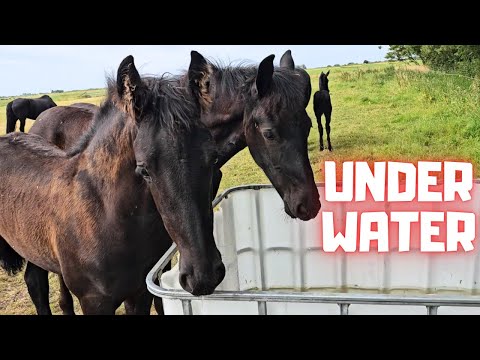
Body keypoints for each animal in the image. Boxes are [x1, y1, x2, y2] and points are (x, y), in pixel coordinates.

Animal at [0, 54, 224, 316]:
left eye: (214, 158)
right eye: (144, 168)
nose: (203, 276)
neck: (105, 217)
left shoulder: (140, 293)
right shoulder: (94, 301)